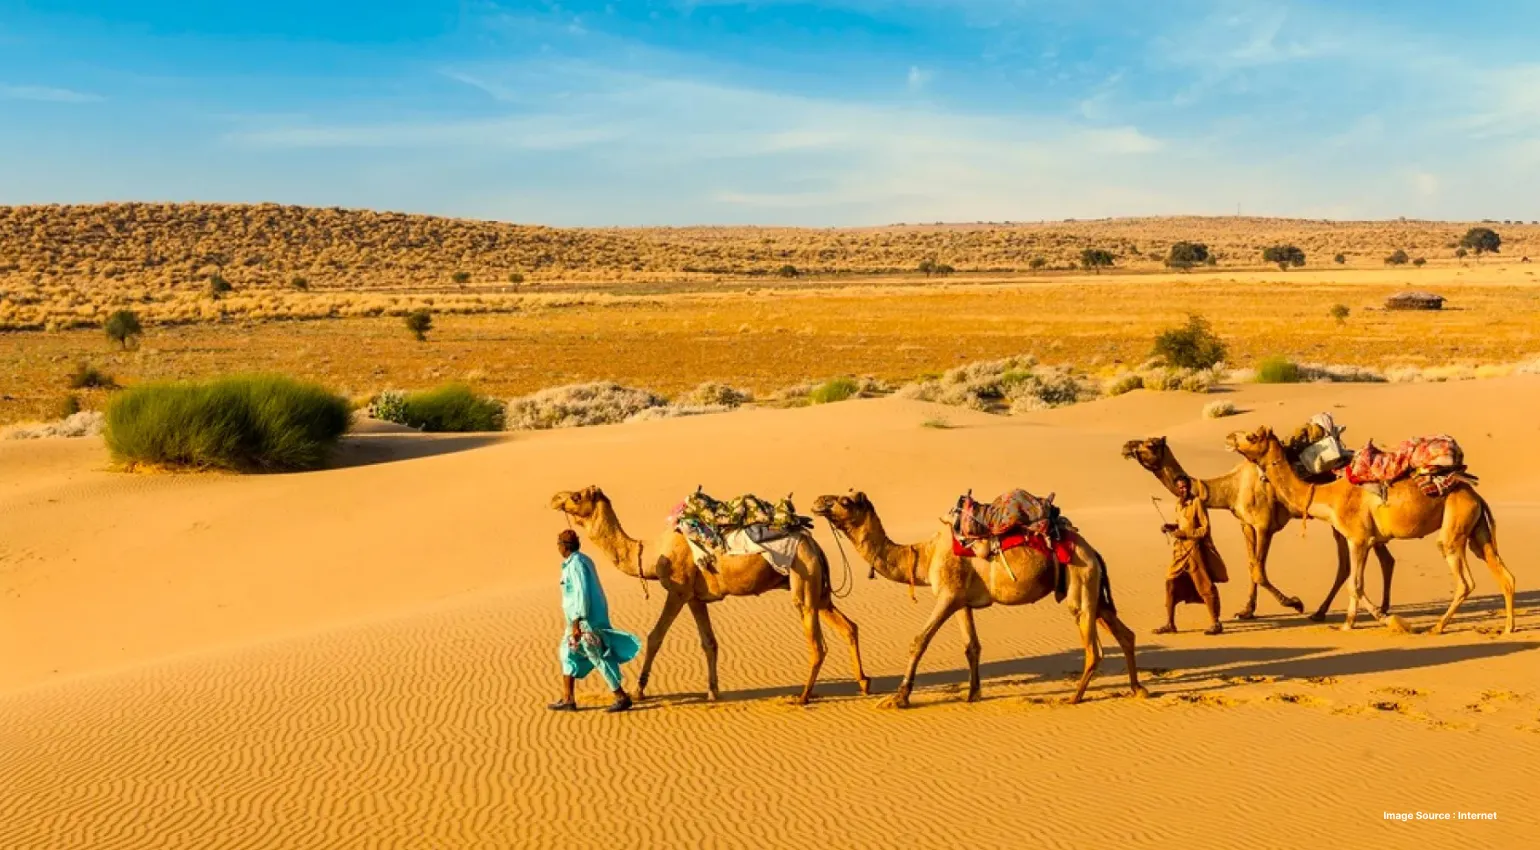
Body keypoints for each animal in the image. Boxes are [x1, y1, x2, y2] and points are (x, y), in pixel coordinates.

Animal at [550, 487, 870, 704]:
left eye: (576, 497)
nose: (555, 497)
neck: (652, 554)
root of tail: (814, 545)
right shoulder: (695, 598)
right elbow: (709, 642)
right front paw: (713, 691)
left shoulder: (678, 591)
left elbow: (655, 637)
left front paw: (639, 690)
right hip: (818, 591)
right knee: (849, 627)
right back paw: (864, 683)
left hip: (802, 579)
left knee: (817, 643)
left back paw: (802, 697)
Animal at [810, 491, 1146, 706]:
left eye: (844, 500)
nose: (817, 502)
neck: (924, 555)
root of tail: (1094, 552)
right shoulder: (962, 601)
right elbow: (972, 646)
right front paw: (973, 694)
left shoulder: (947, 595)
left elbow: (919, 640)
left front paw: (898, 697)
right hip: (1095, 590)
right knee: (1125, 635)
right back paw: (1137, 688)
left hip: (1081, 581)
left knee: (1093, 648)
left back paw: (1073, 697)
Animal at [1123, 437, 1397, 621]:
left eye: (1149, 444)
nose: (1126, 446)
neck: (1232, 488)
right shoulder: (1246, 524)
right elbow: (1251, 566)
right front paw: (1246, 611)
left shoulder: (1264, 524)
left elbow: (1259, 571)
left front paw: (1293, 603)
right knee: (1377, 560)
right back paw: (1354, 610)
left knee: (1361, 561)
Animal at [1225, 427, 1516, 634]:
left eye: (1251, 436)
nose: (1229, 437)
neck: (1328, 495)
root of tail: (1476, 495)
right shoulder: (1358, 539)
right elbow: (1354, 582)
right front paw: (1350, 622)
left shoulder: (1358, 538)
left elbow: (1355, 584)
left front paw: (1387, 621)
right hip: (1477, 530)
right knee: (1503, 573)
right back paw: (1507, 627)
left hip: (1454, 528)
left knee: (1465, 580)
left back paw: (1437, 627)